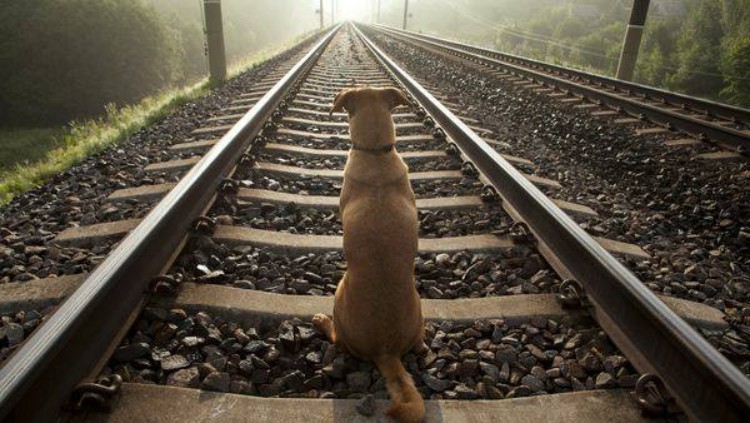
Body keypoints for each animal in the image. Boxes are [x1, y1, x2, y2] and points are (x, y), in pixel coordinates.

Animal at [314, 87, 426, 423]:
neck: (376, 153)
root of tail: (385, 351)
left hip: (339, 297)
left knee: (336, 339)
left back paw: (321, 321)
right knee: (420, 346)